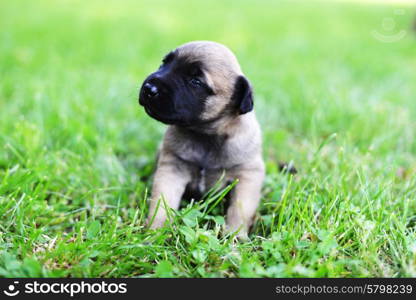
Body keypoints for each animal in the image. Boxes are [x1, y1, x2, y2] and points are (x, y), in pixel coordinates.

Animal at [138, 41, 264, 239]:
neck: (205, 134)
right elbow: (163, 201)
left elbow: (239, 209)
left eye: (195, 82)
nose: (149, 88)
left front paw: (235, 235)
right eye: (164, 63)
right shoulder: (172, 169)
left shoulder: (248, 175)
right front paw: (156, 230)